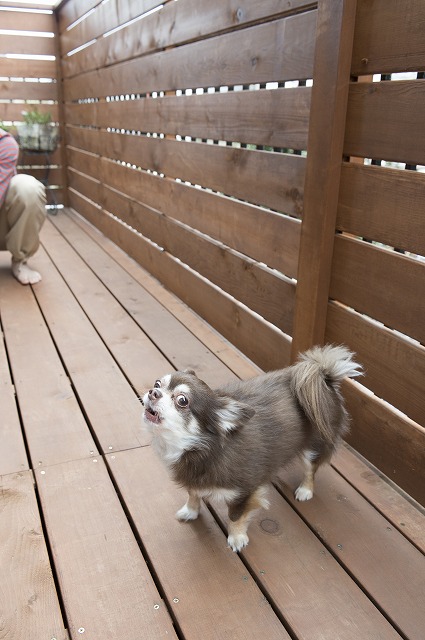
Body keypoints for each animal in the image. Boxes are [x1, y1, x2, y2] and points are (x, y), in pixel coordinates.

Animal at [141, 344, 360, 552]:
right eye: (157, 383)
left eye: (182, 400)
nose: (153, 392)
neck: (200, 447)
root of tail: (325, 376)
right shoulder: (193, 478)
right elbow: (193, 494)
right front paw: (191, 511)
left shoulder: (244, 492)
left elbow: (235, 516)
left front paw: (237, 538)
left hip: (313, 448)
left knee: (310, 470)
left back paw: (305, 490)